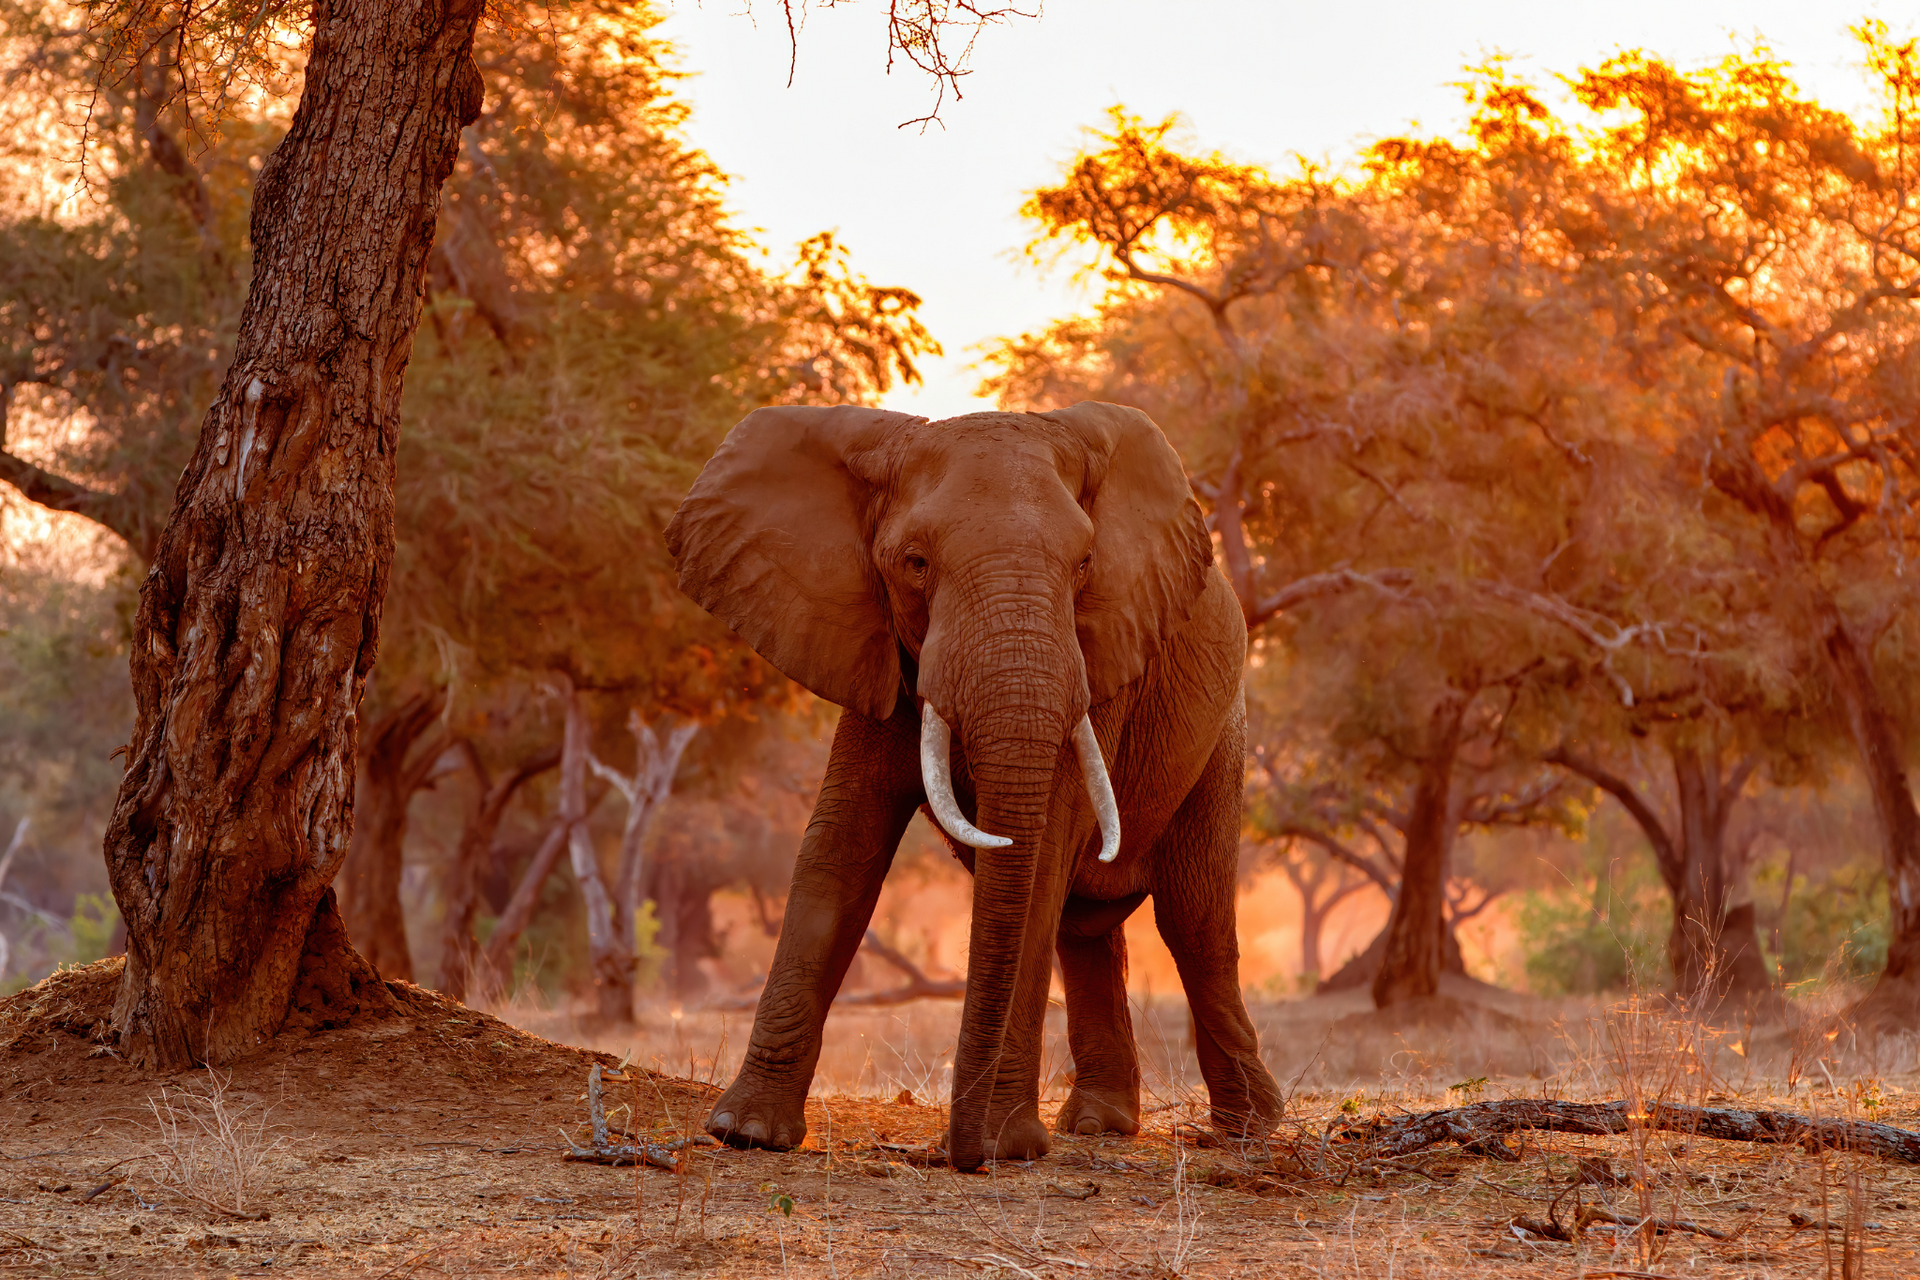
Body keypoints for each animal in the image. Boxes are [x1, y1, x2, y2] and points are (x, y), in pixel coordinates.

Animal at [665, 400, 1283, 1172]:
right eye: (915, 563)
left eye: (1085, 565)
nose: (956, 1153)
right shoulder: (877, 648)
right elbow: (840, 845)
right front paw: (745, 1132)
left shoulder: (1101, 656)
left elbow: (1043, 849)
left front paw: (1004, 1145)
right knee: (1086, 930)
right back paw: (1101, 1124)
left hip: (1222, 732)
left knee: (1193, 921)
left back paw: (1247, 1130)